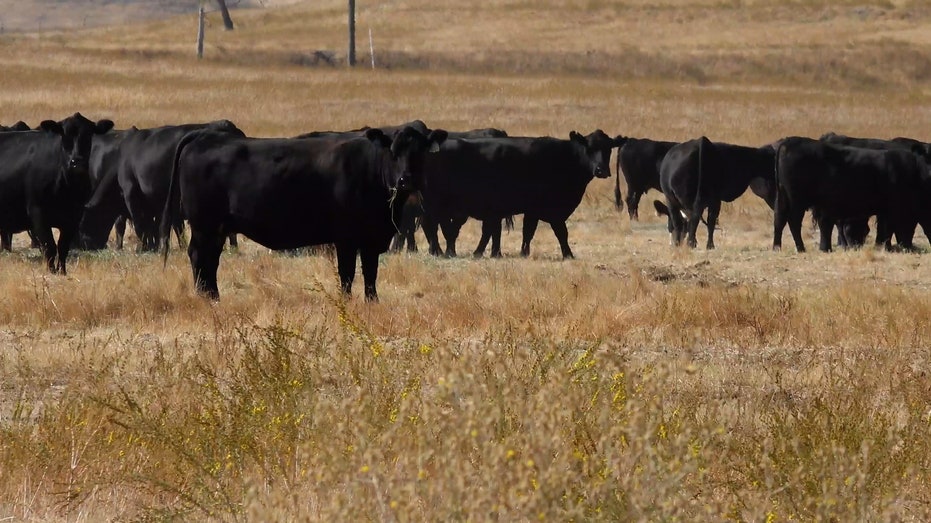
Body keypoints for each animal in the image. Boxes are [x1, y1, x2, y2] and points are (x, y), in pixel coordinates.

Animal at [0, 114, 114, 274]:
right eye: (64, 136)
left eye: (88, 135)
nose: (76, 161)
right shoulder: (38, 213)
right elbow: (50, 247)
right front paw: (51, 272)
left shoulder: (73, 218)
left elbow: (63, 247)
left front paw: (63, 272)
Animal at [161, 125, 448, 300]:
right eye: (394, 151)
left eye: (420, 152)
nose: (406, 179)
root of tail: (205, 136)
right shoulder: (345, 238)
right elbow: (347, 274)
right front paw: (346, 302)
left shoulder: (371, 239)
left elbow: (370, 273)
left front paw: (372, 302)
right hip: (204, 225)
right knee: (199, 256)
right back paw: (207, 296)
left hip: (216, 229)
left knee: (210, 260)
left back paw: (213, 296)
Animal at [418, 130, 624, 258]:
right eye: (589, 148)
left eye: (608, 149)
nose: (601, 170)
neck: (565, 158)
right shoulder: (546, 209)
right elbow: (559, 232)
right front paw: (568, 254)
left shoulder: (531, 210)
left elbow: (528, 232)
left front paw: (524, 252)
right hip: (437, 204)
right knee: (436, 226)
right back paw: (441, 251)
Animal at [776, 137, 928, 254]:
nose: (907, 247)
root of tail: (787, 143)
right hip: (796, 201)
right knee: (794, 221)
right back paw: (801, 248)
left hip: (783, 198)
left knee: (780, 219)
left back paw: (777, 247)